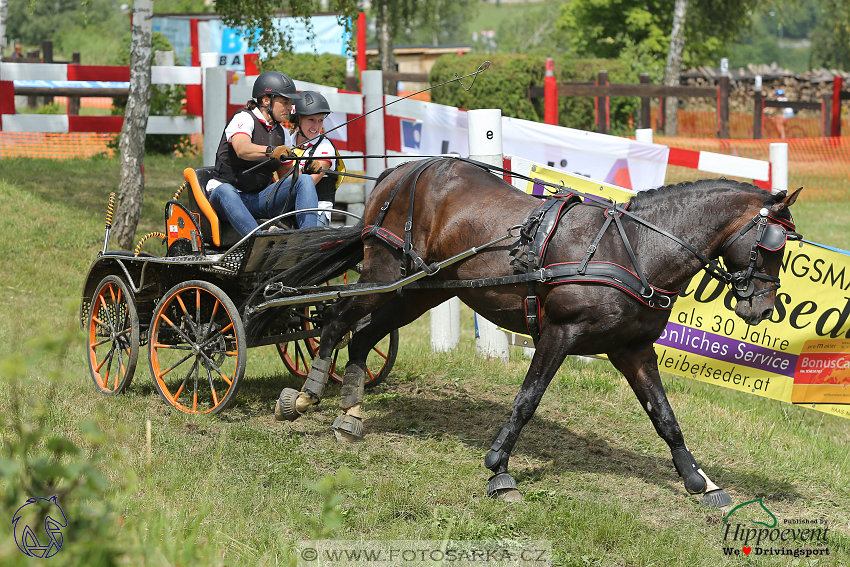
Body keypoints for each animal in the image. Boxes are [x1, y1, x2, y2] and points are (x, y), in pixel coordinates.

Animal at [262, 159, 800, 506]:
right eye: (771, 244)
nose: (761, 307)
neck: (634, 249)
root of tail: (401, 172)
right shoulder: (560, 333)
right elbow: (527, 399)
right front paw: (499, 468)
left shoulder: (631, 348)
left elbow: (664, 416)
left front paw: (698, 481)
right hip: (384, 270)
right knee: (336, 319)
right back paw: (308, 394)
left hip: (420, 290)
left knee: (363, 335)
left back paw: (350, 412)